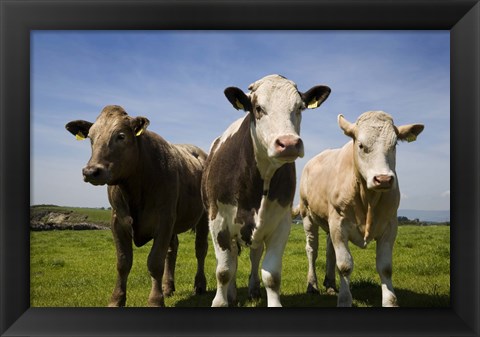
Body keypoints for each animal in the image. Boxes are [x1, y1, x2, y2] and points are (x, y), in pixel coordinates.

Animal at [66, 105, 209, 308]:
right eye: (91, 137)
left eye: (121, 136)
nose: (91, 171)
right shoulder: (118, 221)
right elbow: (123, 262)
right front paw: (116, 299)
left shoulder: (164, 219)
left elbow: (155, 261)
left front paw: (155, 300)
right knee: (172, 250)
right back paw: (168, 287)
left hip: (203, 216)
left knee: (200, 249)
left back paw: (199, 285)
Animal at [202, 75, 330, 306]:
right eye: (258, 108)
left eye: (299, 107)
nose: (289, 143)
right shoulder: (218, 222)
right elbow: (223, 271)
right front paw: (220, 301)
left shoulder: (281, 223)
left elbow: (271, 275)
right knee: (232, 259)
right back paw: (232, 294)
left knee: (254, 255)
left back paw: (253, 290)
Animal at [300, 111, 424, 306]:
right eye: (361, 145)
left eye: (394, 145)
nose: (383, 179)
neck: (368, 200)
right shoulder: (339, 223)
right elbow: (345, 265)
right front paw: (344, 300)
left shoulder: (390, 225)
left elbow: (385, 268)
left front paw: (390, 301)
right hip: (307, 215)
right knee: (312, 249)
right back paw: (312, 285)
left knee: (329, 251)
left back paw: (330, 283)